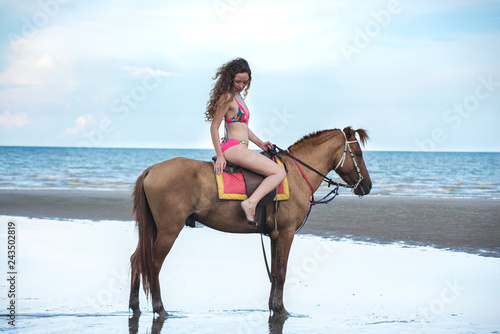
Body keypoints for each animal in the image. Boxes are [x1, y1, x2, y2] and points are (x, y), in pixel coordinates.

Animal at [129, 126, 372, 318]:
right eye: (358, 153)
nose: (367, 186)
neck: (294, 174)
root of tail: (152, 170)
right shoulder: (286, 233)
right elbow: (281, 273)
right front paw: (281, 310)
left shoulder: (275, 235)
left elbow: (274, 273)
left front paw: (273, 306)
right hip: (168, 230)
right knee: (153, 264)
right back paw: (159, 308)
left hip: (154, 229)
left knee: (137, 260)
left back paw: (134, 305)